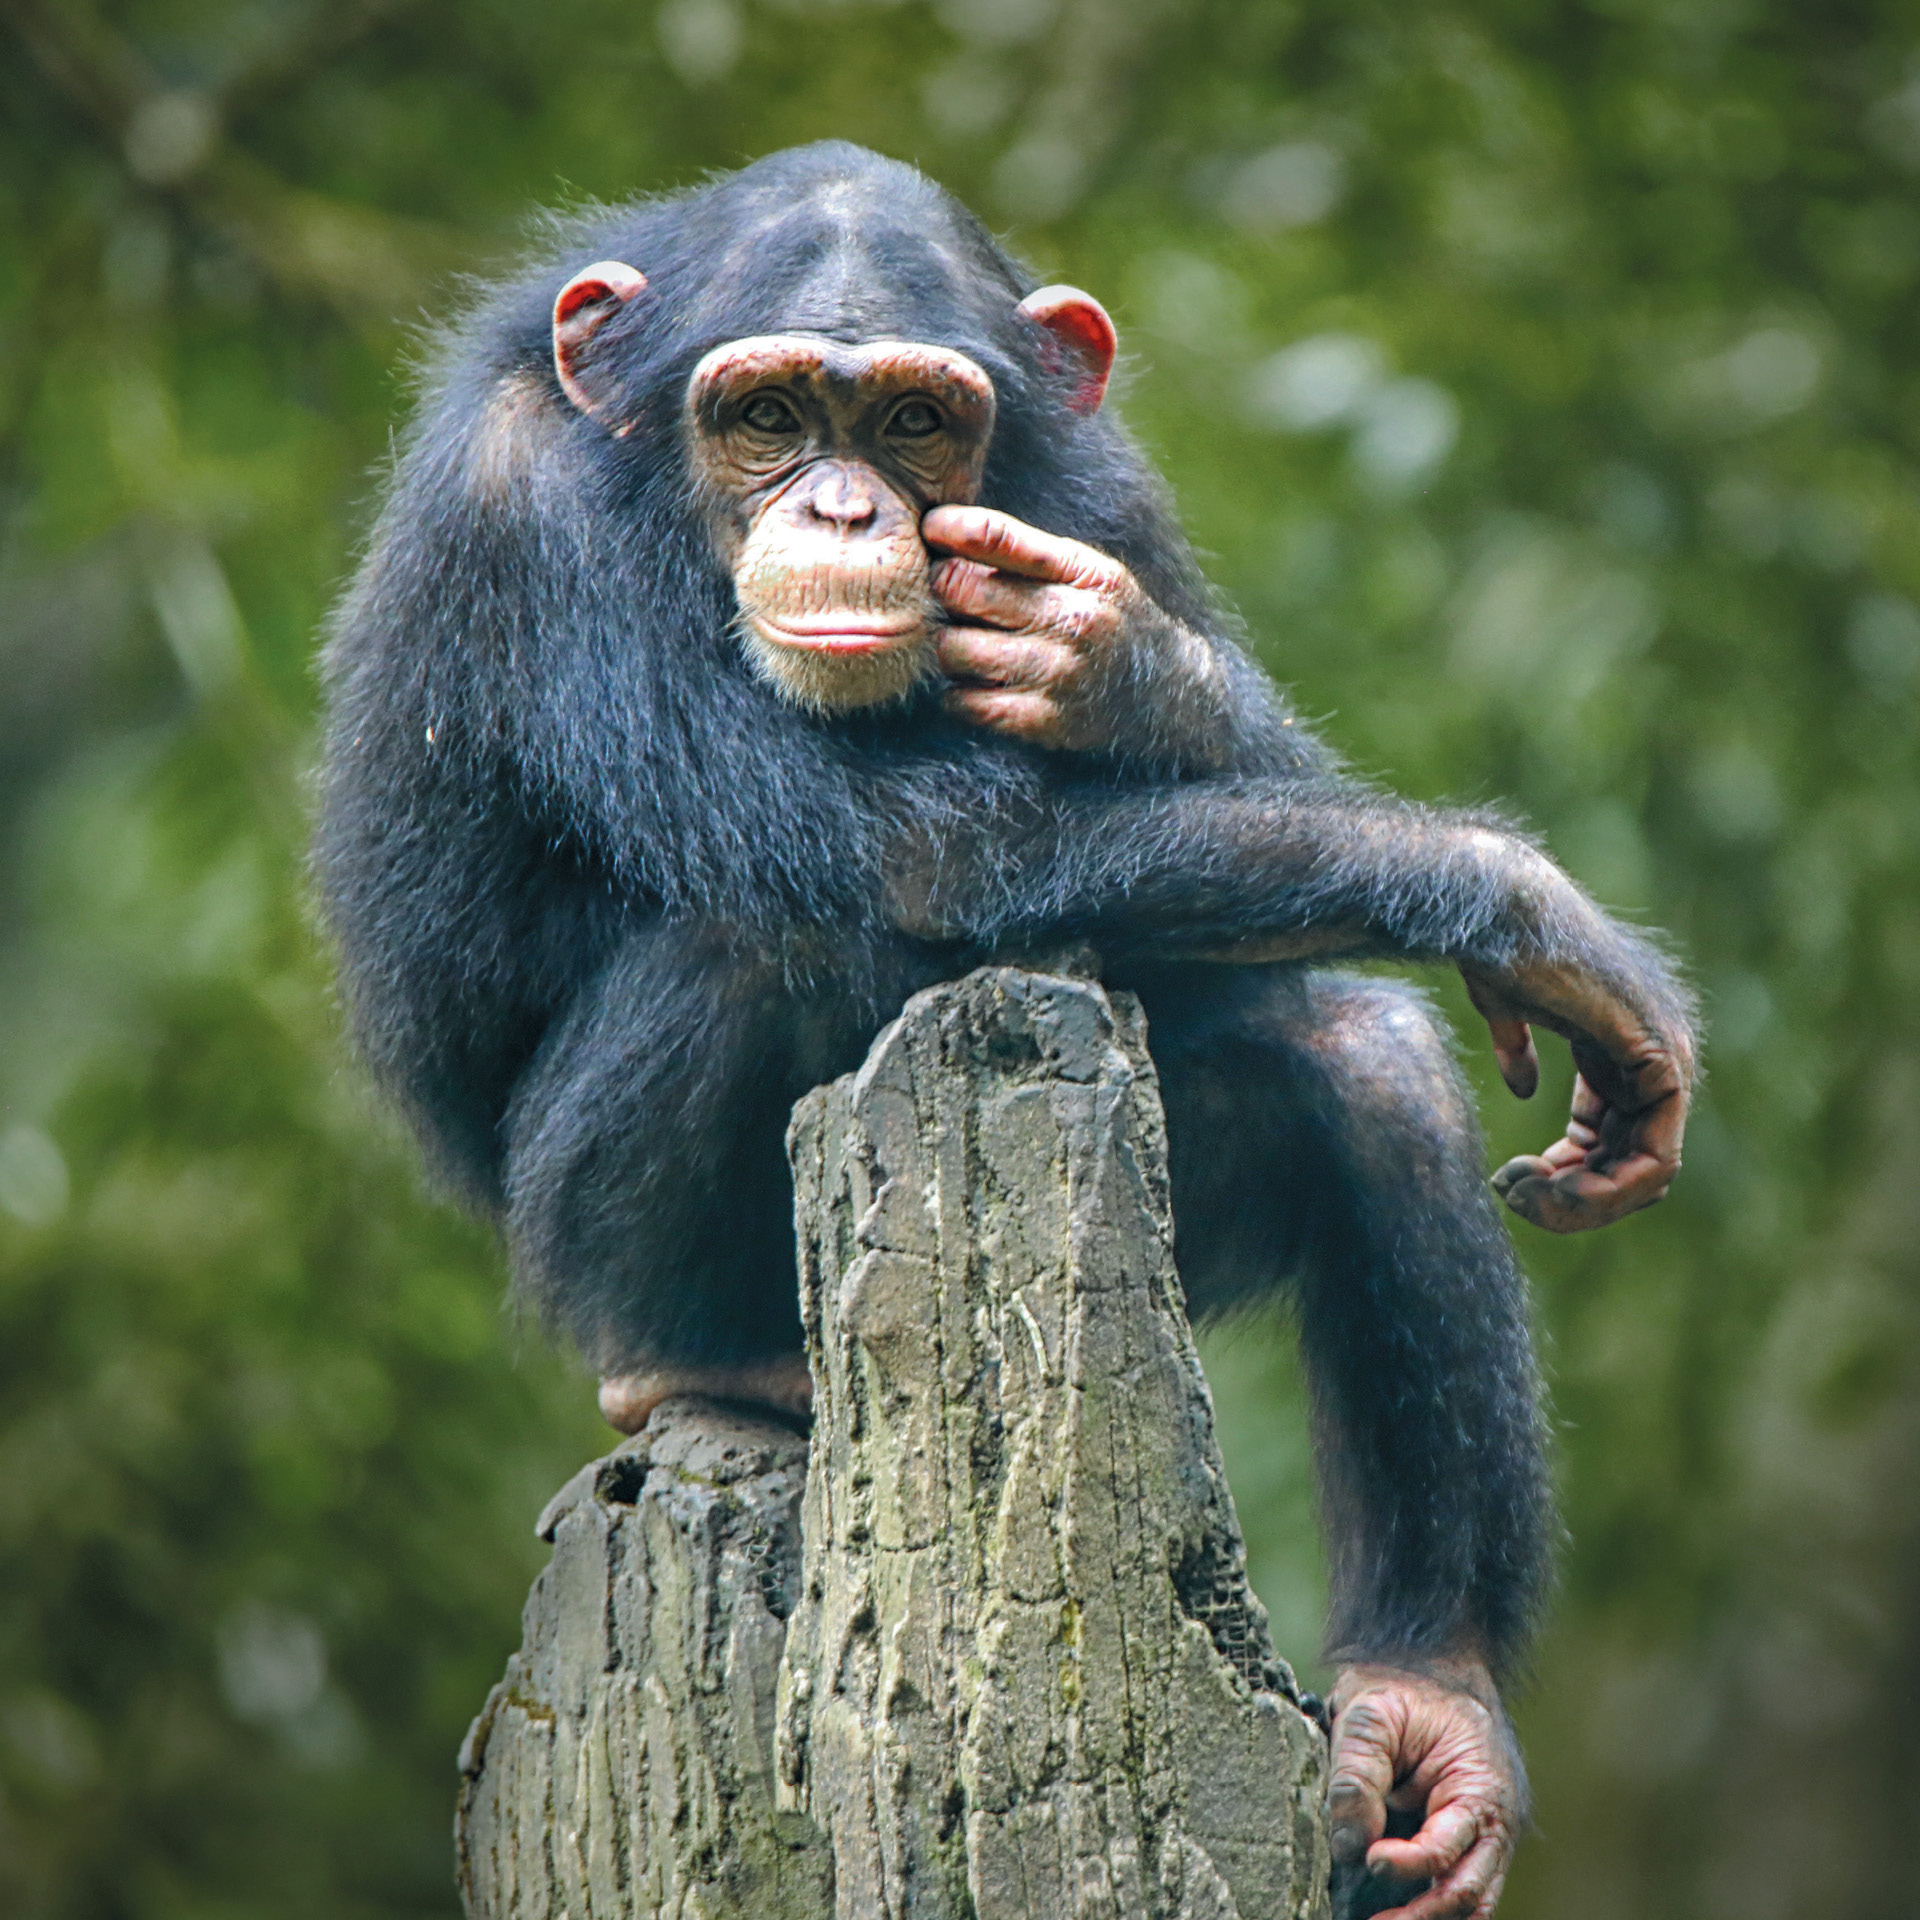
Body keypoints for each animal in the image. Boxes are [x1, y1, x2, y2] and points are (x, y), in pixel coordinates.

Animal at [314, 142, 1697, 1912]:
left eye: (914, 422)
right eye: (767, 414)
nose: (844, 507)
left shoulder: (1101, 492)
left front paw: (1129, 666)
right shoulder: (528, 522)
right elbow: (926, 855)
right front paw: (1533, 910)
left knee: (1364, 1069)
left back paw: (1427, 1698)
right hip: (575, 1253)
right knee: (768, 927)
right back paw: (700, 1360)